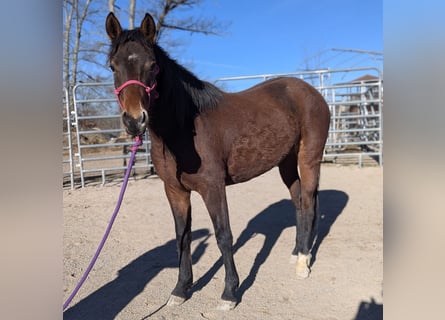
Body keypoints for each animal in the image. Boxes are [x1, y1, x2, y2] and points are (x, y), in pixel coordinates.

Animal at [105, 12, 330, 310]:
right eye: (112, 66)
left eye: (152, 66)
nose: (134, 121)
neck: (183, 127)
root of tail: (311, 92)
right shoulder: (175, 191)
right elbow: (183, 237)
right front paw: (181, 289)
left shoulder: (213, 188)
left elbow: (224, 236)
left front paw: (230, 293)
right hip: (286, 161)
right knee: (299, 202)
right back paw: (296, 252)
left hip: (309, 159)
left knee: (308, 202)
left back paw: (303, 263)